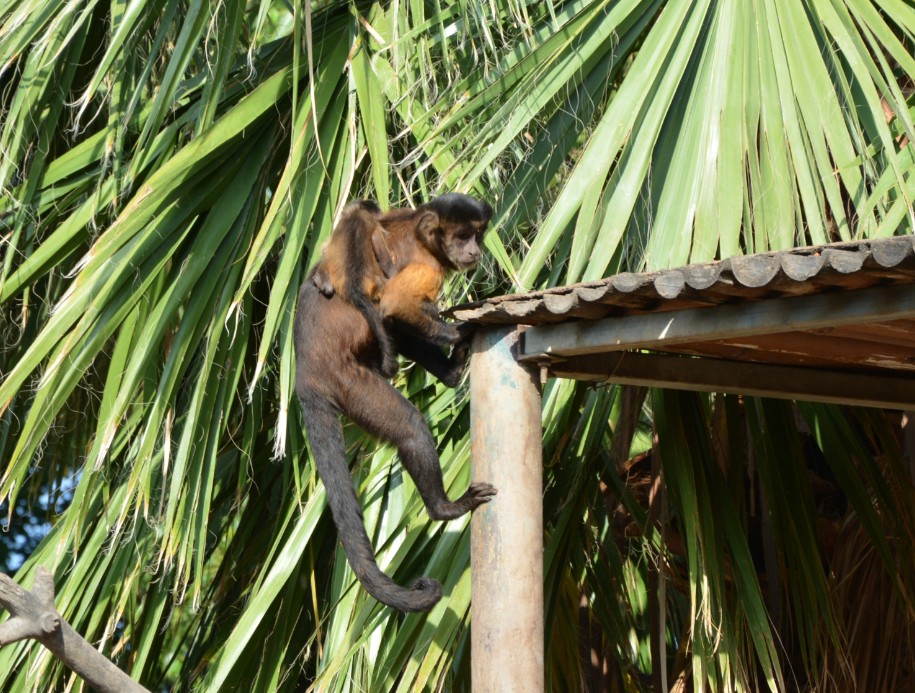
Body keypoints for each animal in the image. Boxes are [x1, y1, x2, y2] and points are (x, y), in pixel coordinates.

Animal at [295, 193, 496, 612]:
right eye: (463, 235)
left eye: (478, 234)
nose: (475, 250)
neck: (422, 233)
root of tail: (304, 373)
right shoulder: (426, 265)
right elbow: (394, 305)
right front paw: (459, 329)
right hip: (347, 381)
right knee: (409, 427)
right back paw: (443, 508)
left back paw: (451, 372)